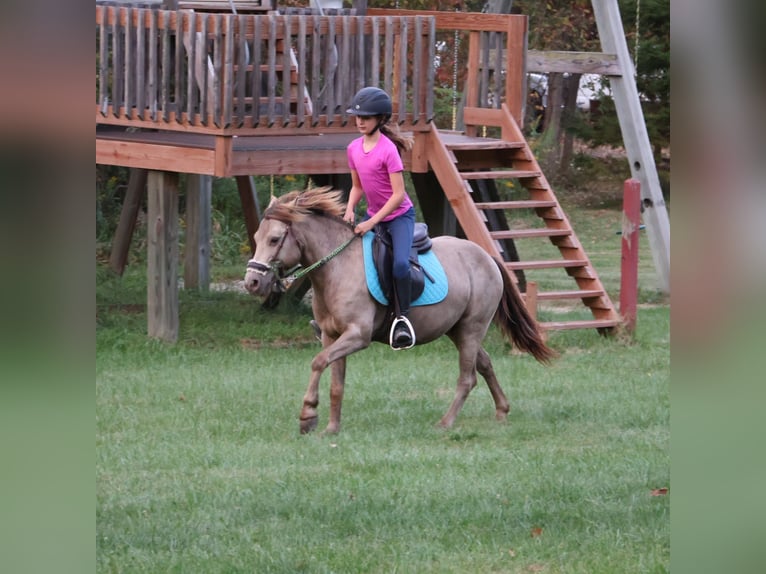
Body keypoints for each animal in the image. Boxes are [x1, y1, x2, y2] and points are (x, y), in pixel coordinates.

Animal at [244, 186, 556, 434]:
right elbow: (335, 382)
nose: (252, 283)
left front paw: (308, 415)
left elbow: (318, 363)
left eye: (274, 239)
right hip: (457, 329)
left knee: (467, 378)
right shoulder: (333, 336)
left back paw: (445, 423)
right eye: (257, 237)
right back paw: (502, 410)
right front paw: (331, 428)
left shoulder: (357, 336)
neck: (337, 268)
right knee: (485, 364)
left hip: (471, 328)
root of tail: (487, 256)